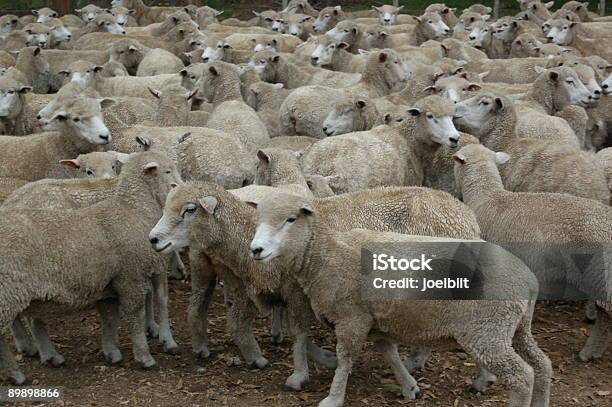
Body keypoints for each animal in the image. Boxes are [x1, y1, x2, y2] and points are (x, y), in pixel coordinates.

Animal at [0, 151, 179, 386]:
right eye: (167, 171)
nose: (181, 187)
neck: (133, 208)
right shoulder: (132, 277)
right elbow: (137, 314)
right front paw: (145, 355)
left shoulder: (109, 282)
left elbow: (109, 319)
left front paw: (112, 352)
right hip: (10, 291)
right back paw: (18, 373)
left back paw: (48, 355)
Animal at [247, 192, 548, 407]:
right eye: (257, 220)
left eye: (290, 219)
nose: (255, 250)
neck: (325, 253)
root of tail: (529, 280)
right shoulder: (376, 319)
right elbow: (389, 352)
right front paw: (409, 385)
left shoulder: (351, 319)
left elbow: (345, 358)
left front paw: (333, 397)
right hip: (514, 327)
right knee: (541, 364)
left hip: (488, 329)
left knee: (522, 376)